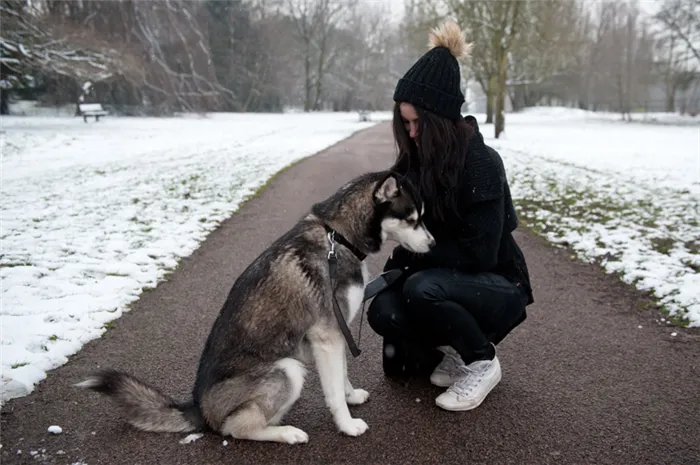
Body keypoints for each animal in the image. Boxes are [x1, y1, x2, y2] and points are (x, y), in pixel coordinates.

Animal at [79, 169, 434, 442]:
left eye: (421, 218)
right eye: (412, 219)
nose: (432, 244)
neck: (338, 236)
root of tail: (199, 407)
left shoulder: (336, 333)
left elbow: (342, 376)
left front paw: (351, 396)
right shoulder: (328, 335)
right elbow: (333, 390)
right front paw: (346, 425)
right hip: (287, 369)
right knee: (236, 428)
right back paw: (287, 433)